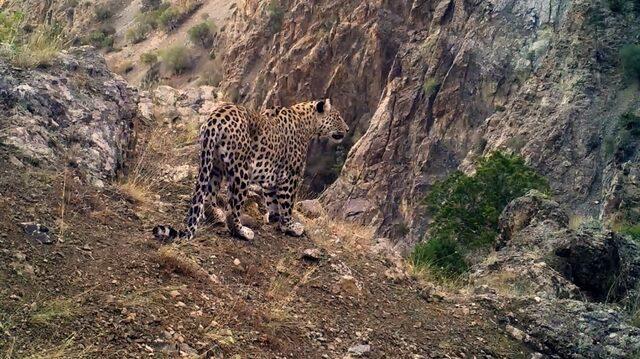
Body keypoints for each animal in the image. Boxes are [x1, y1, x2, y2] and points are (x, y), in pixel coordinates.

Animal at [152, 100, 348, 243]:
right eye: (338, 116)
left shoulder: (272, 177)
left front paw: (275, 219)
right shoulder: (290, 176)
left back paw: (215, 216)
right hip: (241, 172)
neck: (308, 123)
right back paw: (243, 232)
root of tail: (215, 118)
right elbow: (287, 204)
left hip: (212, 165)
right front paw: (291, 226)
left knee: (207, 196)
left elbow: (272, 200)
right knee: (233, 210)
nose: (346, 129)